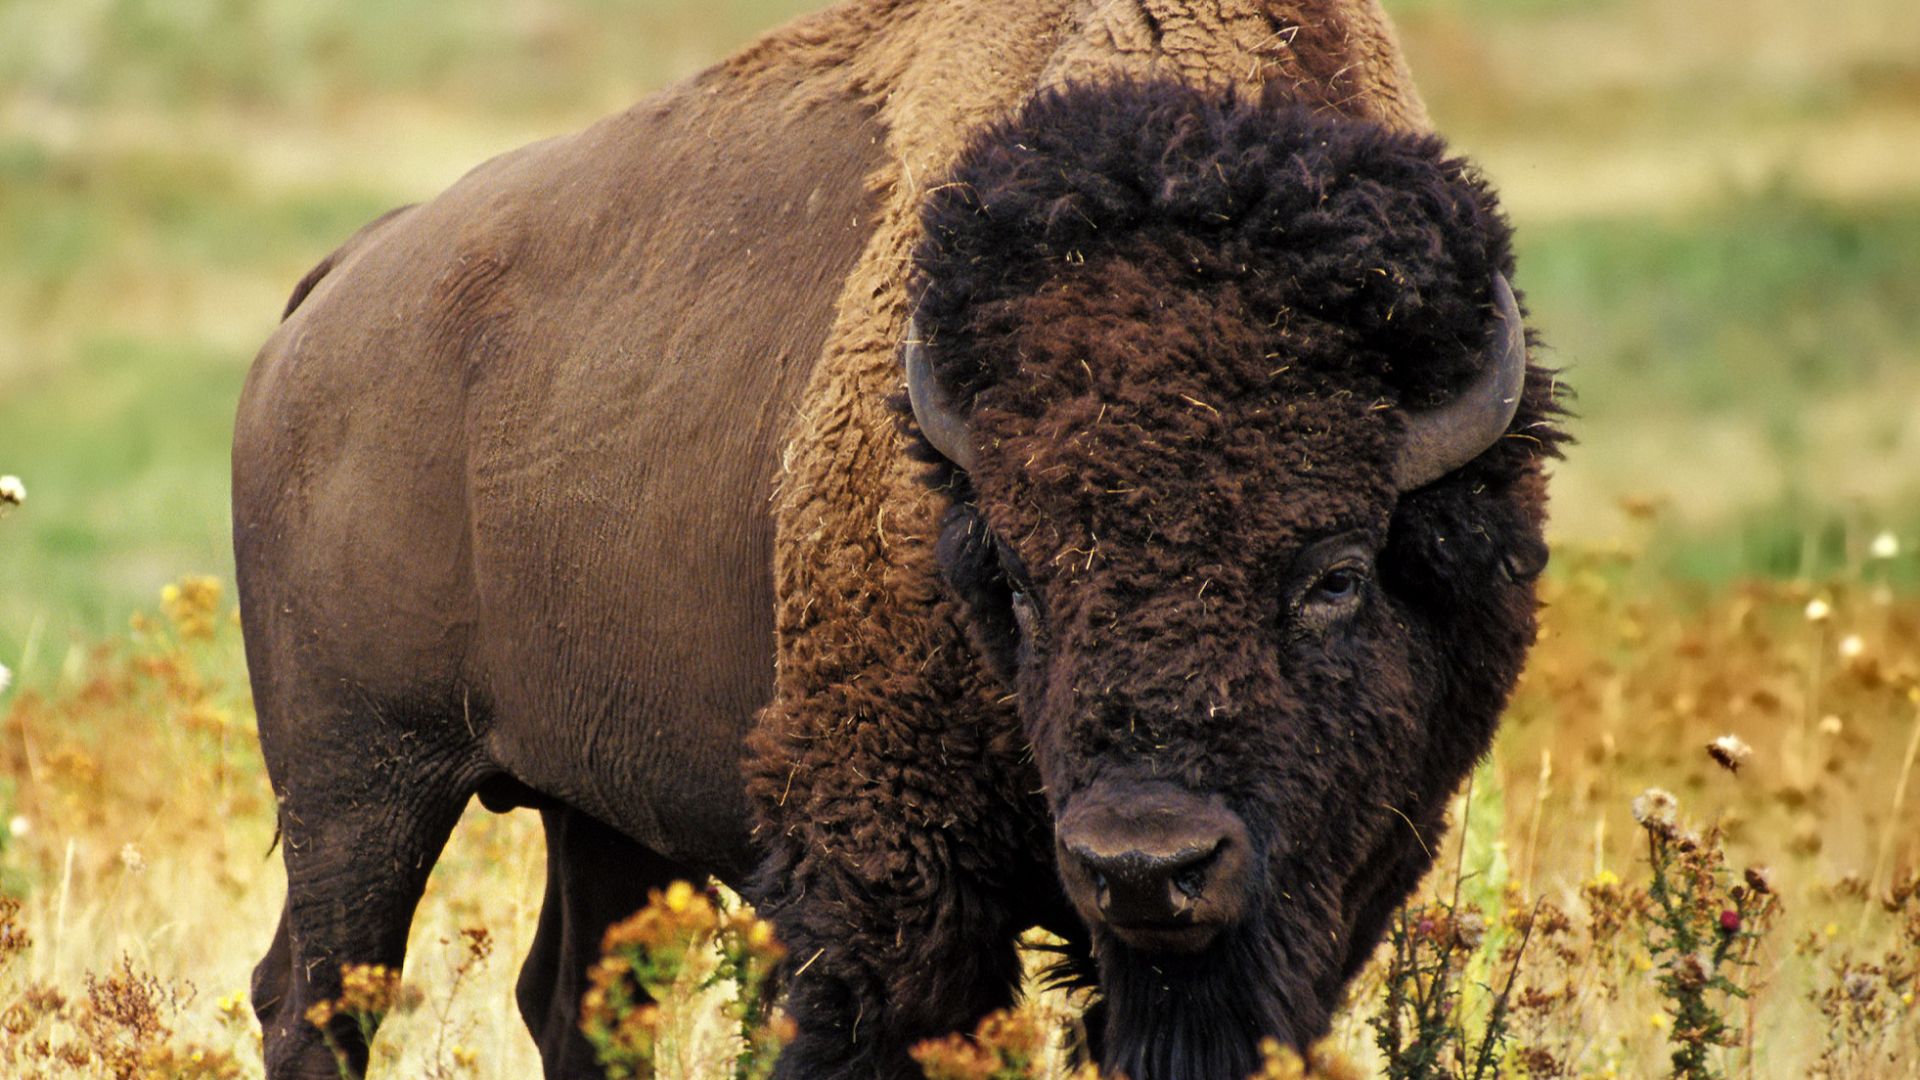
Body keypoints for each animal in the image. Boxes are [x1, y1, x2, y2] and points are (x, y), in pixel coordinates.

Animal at [233, 2, 1560, 1079]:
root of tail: (332, 293)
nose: (1145, 864)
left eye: (1335, 575)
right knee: (317, 1000)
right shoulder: (888, 882)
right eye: (1014, 580)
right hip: (360, 780)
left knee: (570, 1001)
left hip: (592, 804)